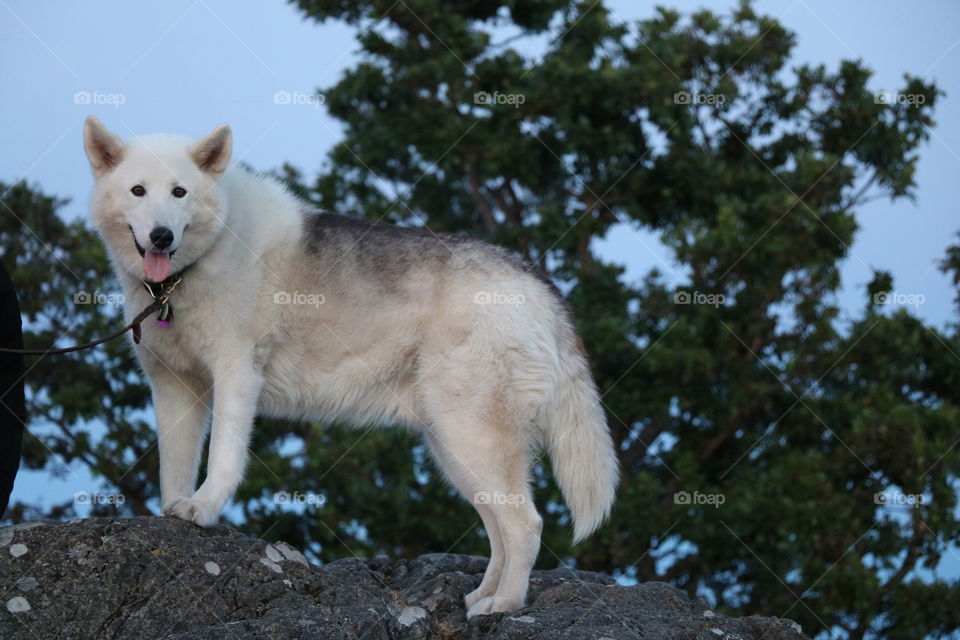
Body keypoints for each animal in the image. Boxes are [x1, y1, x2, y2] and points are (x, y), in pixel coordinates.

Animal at [84, 117, 624, 616]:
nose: (160, 236)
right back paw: (481, 597)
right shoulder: (175, 387)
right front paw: (172, 514)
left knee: (527, 525)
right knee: (499, 528)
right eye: (138, 191)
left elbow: (222, 461)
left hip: (473, 439)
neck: (186, 276)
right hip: (454, 448)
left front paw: (202, 508)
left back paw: (505, 605)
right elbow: (172, 468)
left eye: (180, 192)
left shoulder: (236, 375)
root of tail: (539, 284)